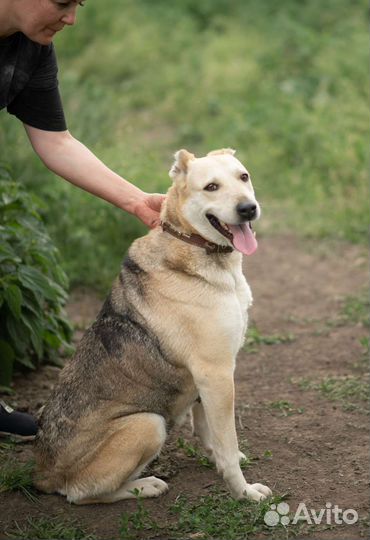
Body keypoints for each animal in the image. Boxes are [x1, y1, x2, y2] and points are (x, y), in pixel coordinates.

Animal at [34, 149, 272, 506]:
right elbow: (227, 443)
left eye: (243, 177)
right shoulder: (216, 373)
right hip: (148, 423)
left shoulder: (207, 381)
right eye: (211, 186)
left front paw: (216, 460)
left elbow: (209, 430)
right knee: (81, 493)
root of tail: (42, 473)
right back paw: (145, 485)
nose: (248, 208)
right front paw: (244, 492)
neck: (194, 245)